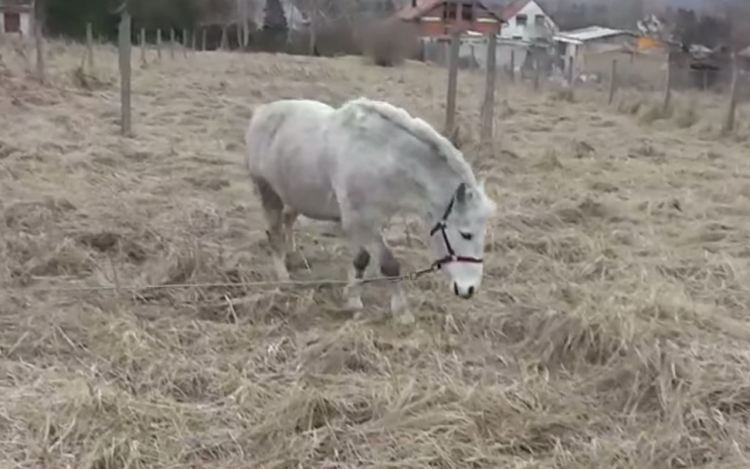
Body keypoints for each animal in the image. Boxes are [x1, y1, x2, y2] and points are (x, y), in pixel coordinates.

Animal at [244, 95, 496, 322]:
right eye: (466, 234)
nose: (469, 289)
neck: (382, 158)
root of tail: (261, 112)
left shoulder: (374, 222)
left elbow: (361, 260)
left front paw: (353, 299)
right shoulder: (360, 222)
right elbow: (389, 264)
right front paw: (401, 312)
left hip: (296, 195)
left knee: (288, 220)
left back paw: (292, 254)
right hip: (269, 193)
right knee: (275, 233)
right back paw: (283, 277)